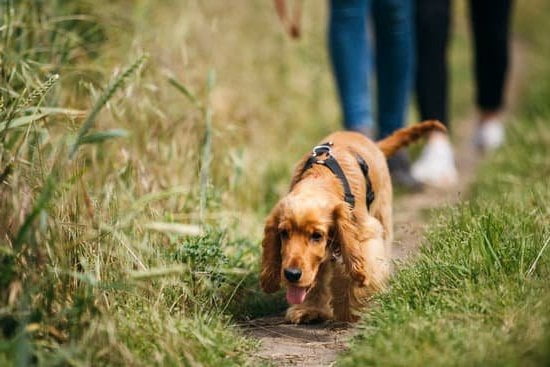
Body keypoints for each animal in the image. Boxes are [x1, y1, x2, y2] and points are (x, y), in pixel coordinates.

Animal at [260, 121, 446, 324]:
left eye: (317, 235)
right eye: (284, 233)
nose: (292, 275)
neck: (322, 177)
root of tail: (372, 142)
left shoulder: (362, 233)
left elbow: (358, 270)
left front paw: (350, 310)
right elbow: (315, 277)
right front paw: (309, 309)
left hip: (383, 213)